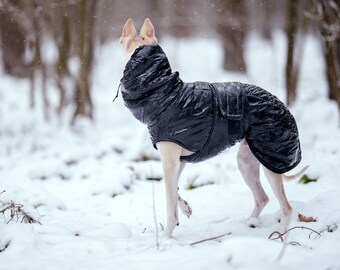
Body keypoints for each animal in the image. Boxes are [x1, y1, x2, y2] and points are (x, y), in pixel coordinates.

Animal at [119, 17, 300, 237]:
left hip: (271, 160)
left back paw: (279, 234)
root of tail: (285, 108)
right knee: (262, 198)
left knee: (286, 207)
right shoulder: (180, 159)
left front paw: (166, 236)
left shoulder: (170, 159)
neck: (165, 94)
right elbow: (173, 189)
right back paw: (249, 223)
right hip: (246, 161)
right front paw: (185, 208)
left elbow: (169, 202)